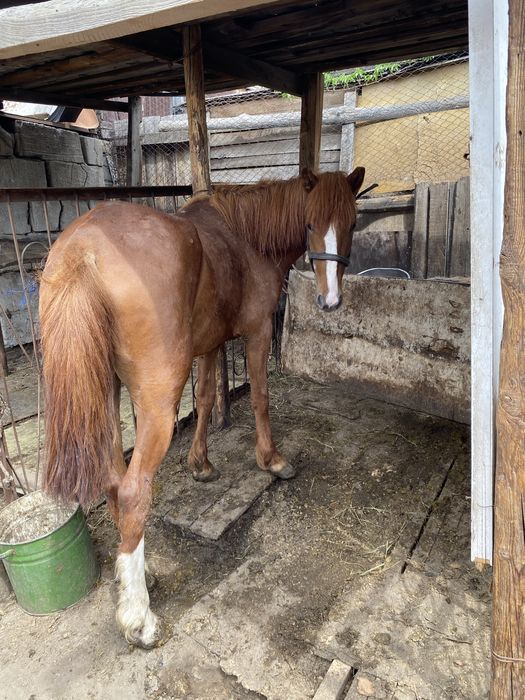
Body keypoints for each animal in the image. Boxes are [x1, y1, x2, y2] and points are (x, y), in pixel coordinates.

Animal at [39, 166, 365, 648]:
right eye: (309, 224)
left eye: (352, 223)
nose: (330, 300)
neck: (245, 239)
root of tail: (83, 251)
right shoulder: (256, 333)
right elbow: (261, 396)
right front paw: (271, 460)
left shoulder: (209, 344)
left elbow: (209, 398)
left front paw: (201, 464)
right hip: (156, 400)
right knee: (134, 492)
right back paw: (138, 617)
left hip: (108, 395)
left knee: (115, 484)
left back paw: (139, 576)